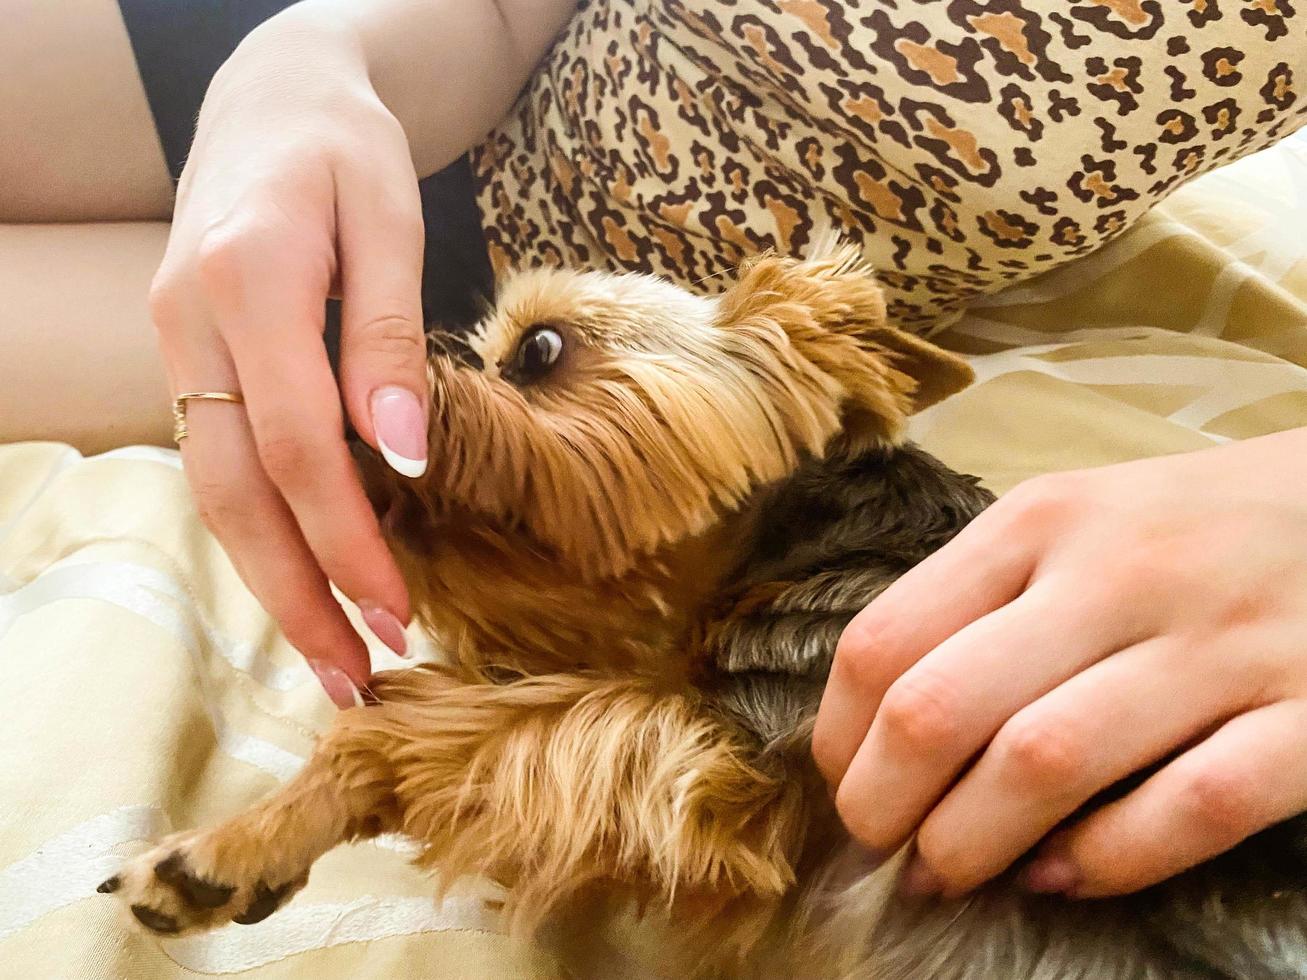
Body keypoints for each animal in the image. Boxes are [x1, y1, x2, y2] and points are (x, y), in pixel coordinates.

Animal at [101, 250, 1307, 977]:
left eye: (538, 349)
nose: (334, 359)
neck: (773, 558)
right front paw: (241, 851)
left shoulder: (731, 768)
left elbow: (432, 726)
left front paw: (229, 839)